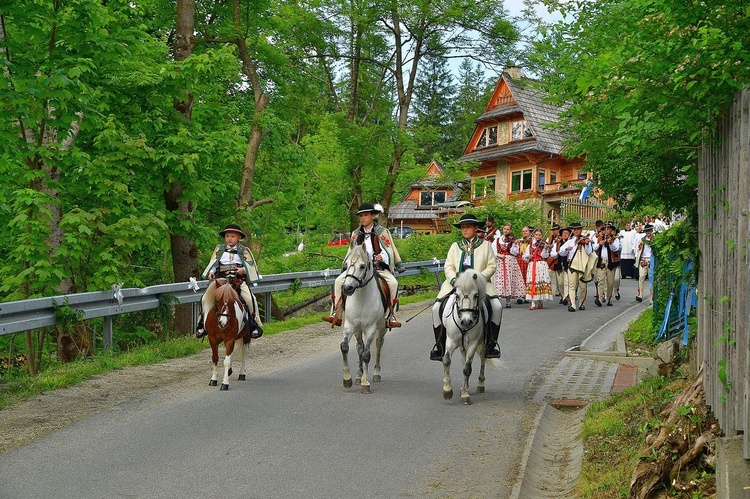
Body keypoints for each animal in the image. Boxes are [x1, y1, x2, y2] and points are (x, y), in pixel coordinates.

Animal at [340, 245, 388, 394]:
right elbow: (345, 347)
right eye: (346, 265)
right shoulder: (350, 326)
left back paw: (376, 373)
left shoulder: (371, 328)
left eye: (362, 266)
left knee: (378, 344)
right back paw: (358, 376)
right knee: (359, 347)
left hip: (382, 328)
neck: (361, 299)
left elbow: (367, 354)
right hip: (357, 330)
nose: (347, 288)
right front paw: (347, 379)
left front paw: (365, 383)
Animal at [444, 270, 490, 406]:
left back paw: (480, 384)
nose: (466, 321)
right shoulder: (451, 341)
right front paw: (447, 390)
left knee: (482, 358)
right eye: (457, 295)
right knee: (464, 359)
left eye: (475, 295)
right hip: (462, 346)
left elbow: (467, 369)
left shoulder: (473, 344)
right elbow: (446, 360)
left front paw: (465, 394)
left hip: (482, 344)